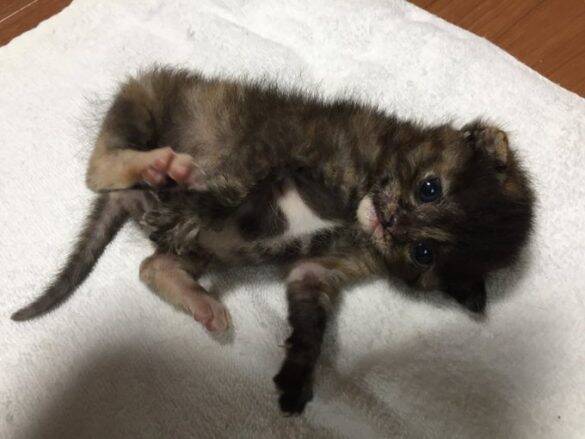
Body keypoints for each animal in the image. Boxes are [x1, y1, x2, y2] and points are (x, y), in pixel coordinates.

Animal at [12, 66, 535, 414]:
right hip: (141, 103)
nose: (392, 220)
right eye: (429, 188)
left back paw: (203, 301)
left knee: (153, 265)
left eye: (422, 252)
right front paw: (191, 202)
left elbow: (311, 325)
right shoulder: (279, 159)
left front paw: (297, 379)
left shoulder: (317, 270)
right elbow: (225, 194)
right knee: (99, 168)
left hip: (206, 250)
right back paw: (160, 167)